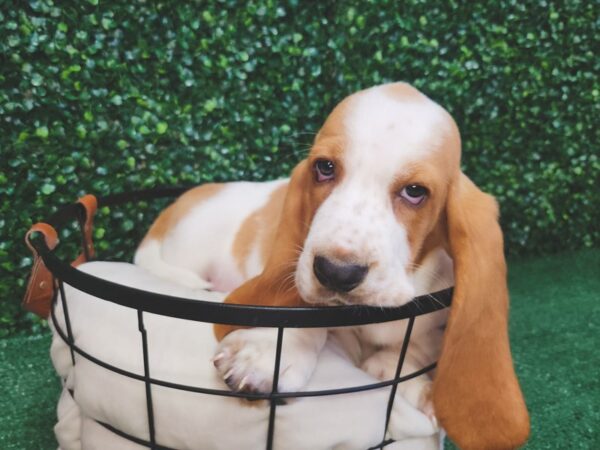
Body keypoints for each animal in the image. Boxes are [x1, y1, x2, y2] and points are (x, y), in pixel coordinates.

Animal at [136, 82, 528, 448]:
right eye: (324, 168)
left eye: (415, 191)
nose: (337, 273)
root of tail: (172, 208)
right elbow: (309, 315)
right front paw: (267, 353)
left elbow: (415, 344)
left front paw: (403, 376)